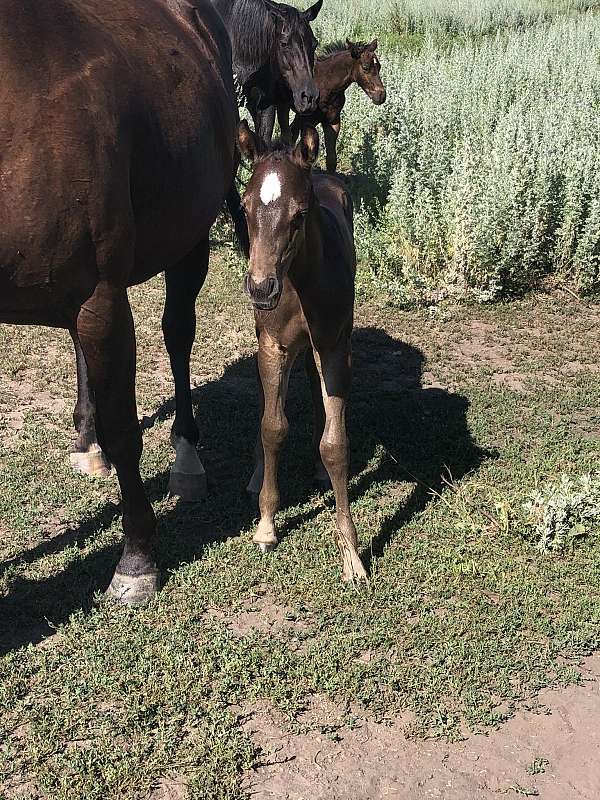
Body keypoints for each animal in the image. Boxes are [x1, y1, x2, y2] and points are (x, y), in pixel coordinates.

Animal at [0, 0, 239, 605]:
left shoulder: (101, 296)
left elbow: (126, 429)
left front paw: (136, 561)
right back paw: (88, 446)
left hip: (188, 237)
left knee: (178, 334)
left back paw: (186, 457)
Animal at [237, 120, 367, 583]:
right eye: (244, 207)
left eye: (300, 214)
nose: (261, 288)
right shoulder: (272, 345)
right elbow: (272, 428)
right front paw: (265, 526)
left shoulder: (335, 347)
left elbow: (336, 445)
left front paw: (352, 555)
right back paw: (256, 474)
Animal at [278, 39, 386, 174]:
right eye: (365, 67)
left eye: (379, 66)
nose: (381, 96)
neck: (326, 87)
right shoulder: (307, 120)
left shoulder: (333, 121)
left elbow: (331, 159)